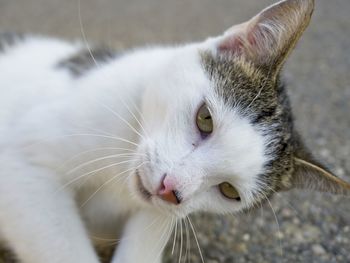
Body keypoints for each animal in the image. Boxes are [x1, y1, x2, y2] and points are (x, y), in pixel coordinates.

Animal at [0, 0, 348, 262]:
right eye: (205, 118)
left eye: (229, 191)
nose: (170, 189)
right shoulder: (23, 164)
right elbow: (63, 247)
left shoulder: (162, 212)